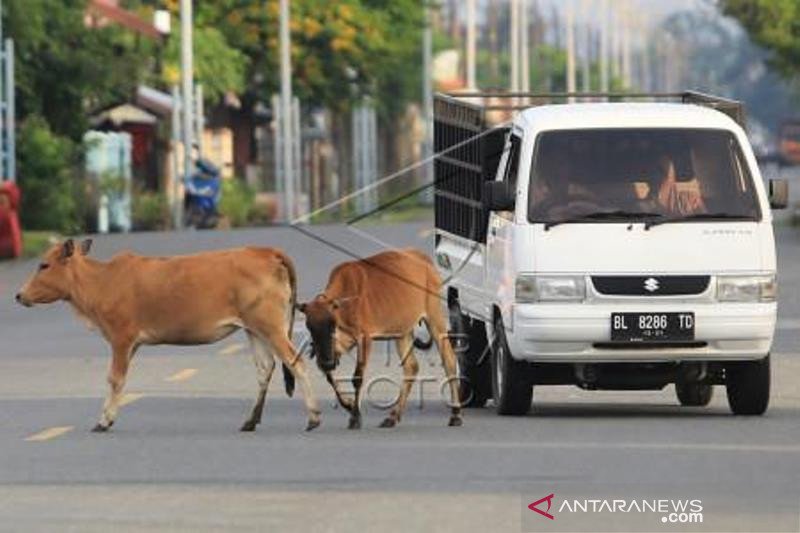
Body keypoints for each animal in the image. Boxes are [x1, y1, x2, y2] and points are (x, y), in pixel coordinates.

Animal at [12, 239, 318, 430]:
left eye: (44, 265)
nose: (19, 295)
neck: (102, 281)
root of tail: (267, 252)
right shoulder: (131, 344)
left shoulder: (121, 339)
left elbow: (115, 379)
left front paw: (104, 420)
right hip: (254, 329)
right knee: (265, 369)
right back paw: (250, 421)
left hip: (271, 327)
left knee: (296, 362)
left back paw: (314, 417)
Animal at [298, 248, 462, 428]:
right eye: (310, 326)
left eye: (331, 324)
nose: (326, 362)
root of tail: (422, 257)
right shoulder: (336, 347)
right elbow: (329, 376)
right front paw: (348, 404)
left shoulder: (364, 340)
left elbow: (357, 377)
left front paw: (355, 417)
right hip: (402, 332)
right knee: (411, 367)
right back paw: (393, 416)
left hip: (434, 317)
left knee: (449, 359)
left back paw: (455, 414)